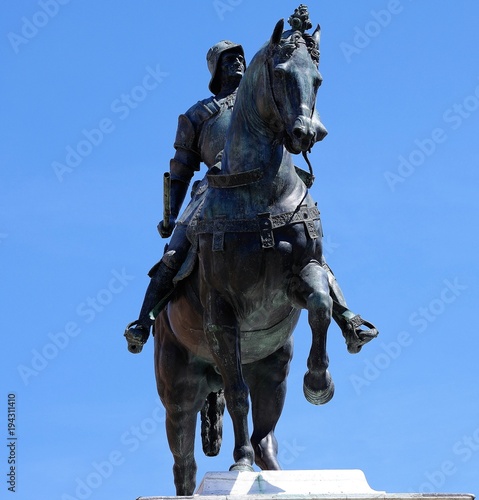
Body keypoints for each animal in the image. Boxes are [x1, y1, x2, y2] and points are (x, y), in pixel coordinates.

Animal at [156, 19, 332, 496]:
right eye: (282, 74)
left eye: (317, 79)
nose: (306, 134)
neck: (261, 193)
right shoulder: (222, 316)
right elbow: (236, 398)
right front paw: (238, 464)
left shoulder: (300, 276)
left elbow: (322, 305)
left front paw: (319, 381)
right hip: (179, 391)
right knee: (185, 462)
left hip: (272, 367)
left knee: (266, 427)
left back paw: (274, 469)